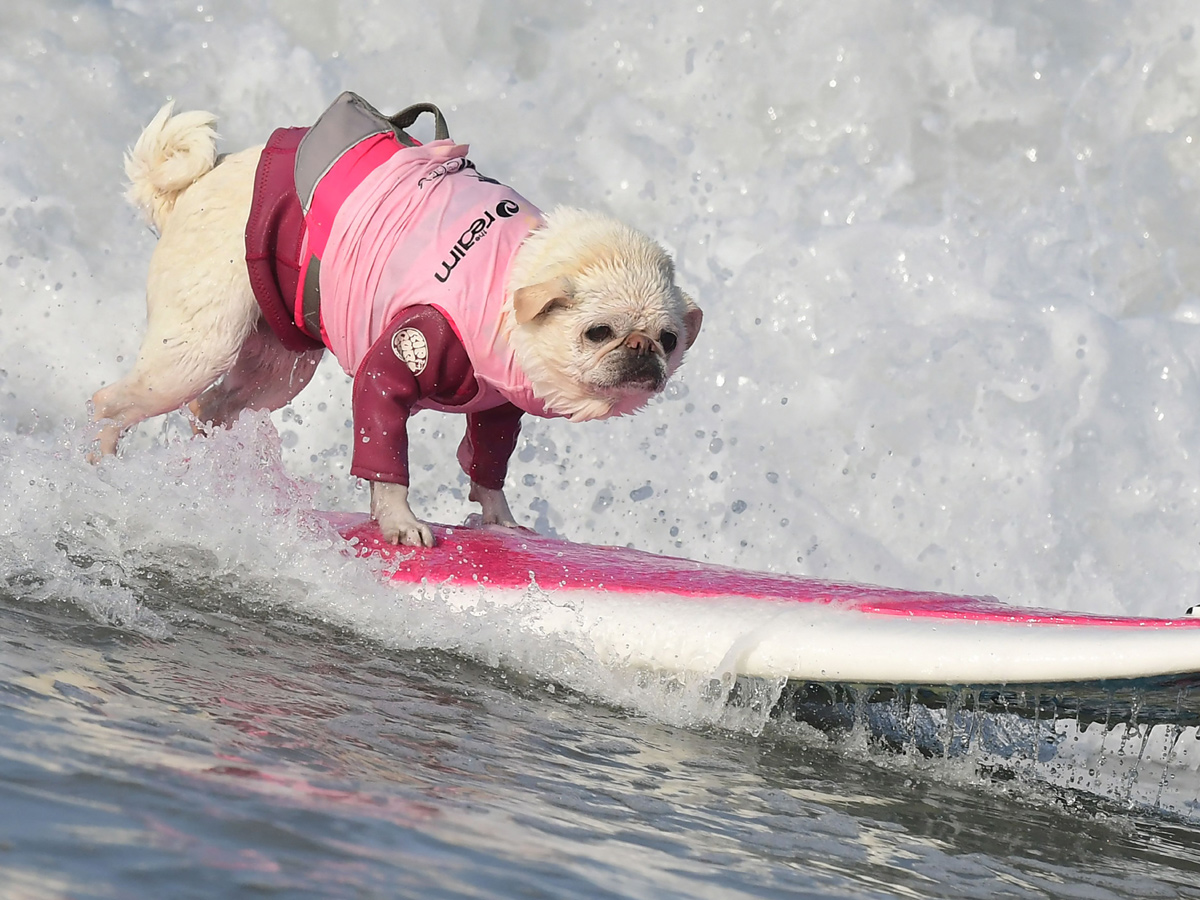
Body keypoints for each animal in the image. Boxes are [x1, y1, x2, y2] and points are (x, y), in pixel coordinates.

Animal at [91, 95, 700, 547]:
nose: (642, 349)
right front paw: (400, 522)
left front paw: (498, 519)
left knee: (212, 407)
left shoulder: (496, 407)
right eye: (599, 332)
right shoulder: (408, 353)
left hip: (279, 368)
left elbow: (488, 463)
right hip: (197, 348)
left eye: (669, 341)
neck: (510, 280)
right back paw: (99, 462)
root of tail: (193, 188)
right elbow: (383, 448)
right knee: (116, 402)